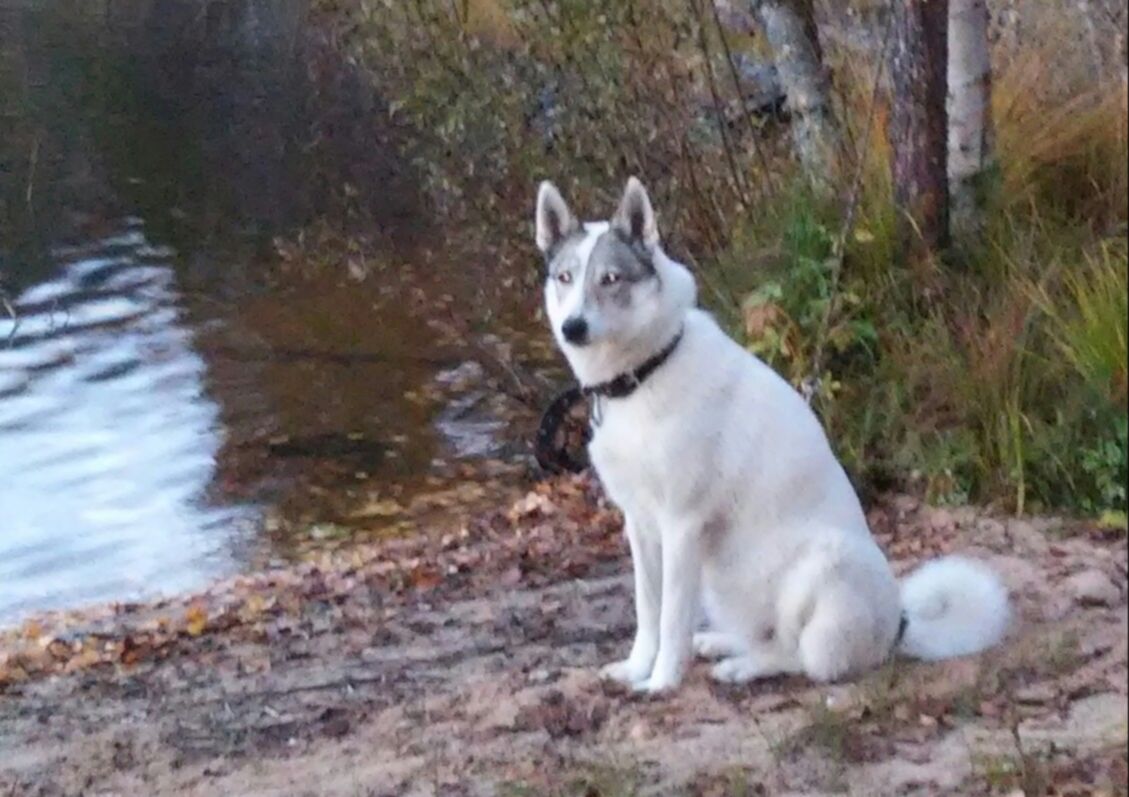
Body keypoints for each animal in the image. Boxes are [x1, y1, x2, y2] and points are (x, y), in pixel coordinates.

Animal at [532, 177, 1011, 690]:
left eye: (610, 279)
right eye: (565, 277)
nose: (573, 327)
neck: (645, 374)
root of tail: (897, 625)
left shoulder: (681, 525)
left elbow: (671, 618)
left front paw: (661, 683)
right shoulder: (640, 525)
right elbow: (648, 611)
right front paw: (637, 668)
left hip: (819, 566)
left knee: (800, 657)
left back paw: (742, 667)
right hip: (723, 584)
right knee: (763, 637)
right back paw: (721, 645)